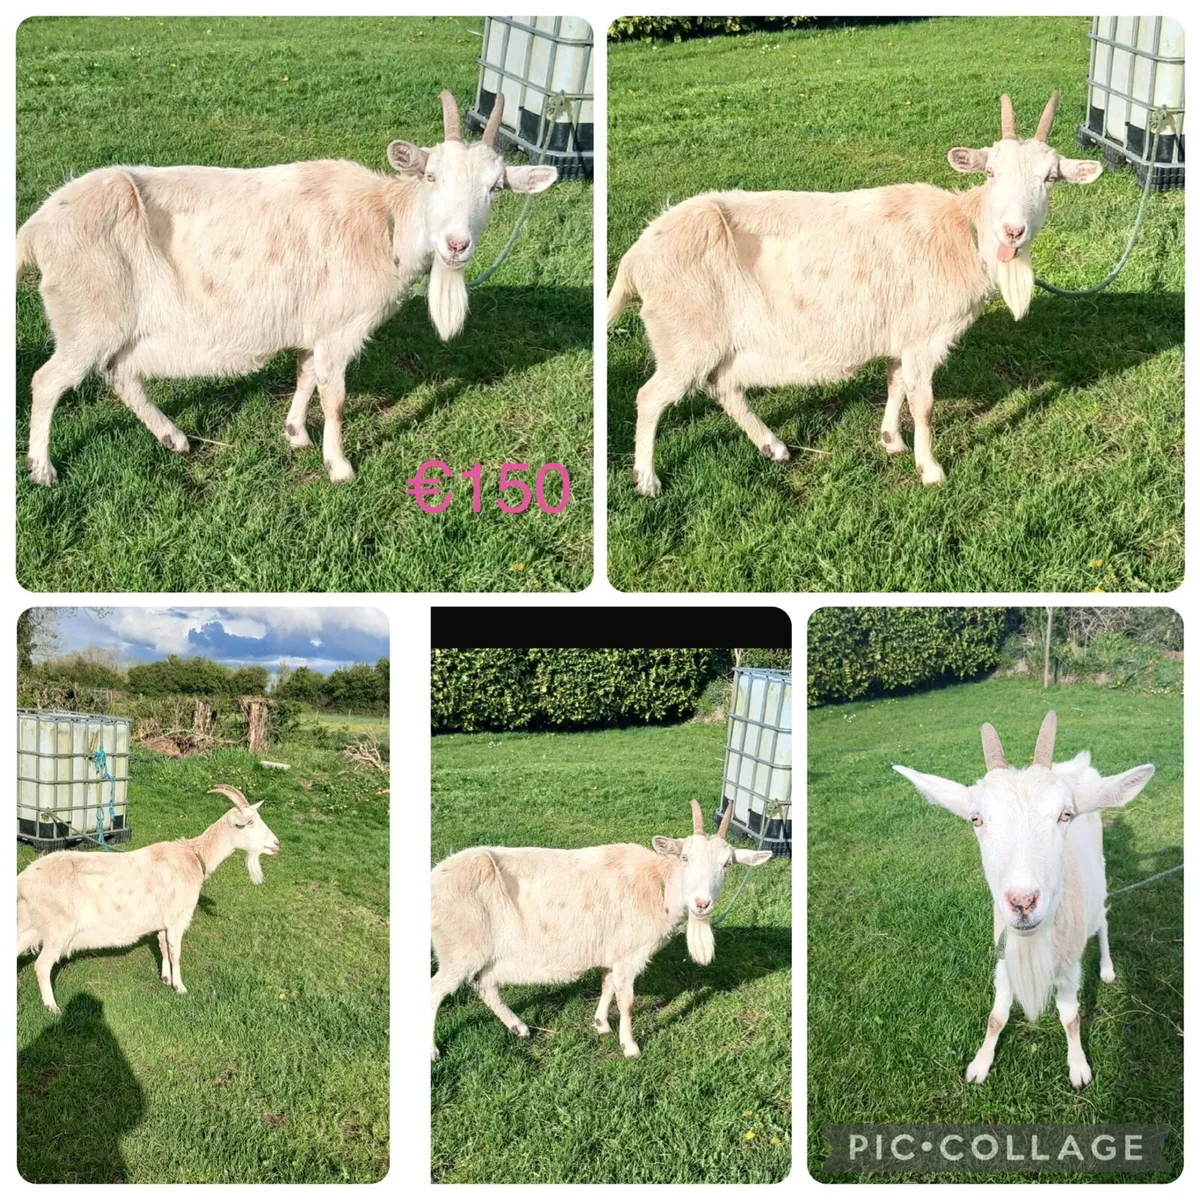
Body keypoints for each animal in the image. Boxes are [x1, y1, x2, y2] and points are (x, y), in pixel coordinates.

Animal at [16, 91, 557, 485]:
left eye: (495, 188)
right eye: (430, 175)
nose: (456, 245)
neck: (382, 223)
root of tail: (36, 229)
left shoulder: (313, 323)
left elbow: (304, 375)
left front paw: (296, 433)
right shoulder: (339, 328)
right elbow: (334, 396)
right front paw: (339, 467)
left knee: (121, 375)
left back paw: (175, 439)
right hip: (89, 315)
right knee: (48, 381)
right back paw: (43, 469)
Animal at [16, 785, 280, 1013]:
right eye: (250, 823)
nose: (276, 844)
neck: (194, 856)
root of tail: (23, 880)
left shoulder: (162, 922)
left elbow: (163, 947)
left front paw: (165, 977)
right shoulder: (176, 920)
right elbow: (175, 952)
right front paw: (180, 987)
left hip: (31, 925)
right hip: (57, 928)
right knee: (42, 966)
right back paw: (52, 1007)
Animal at [430, 799, 772, 1060]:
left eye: (727, 865)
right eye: (685, 857)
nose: (702, 904)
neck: (657, 885)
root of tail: (435, 878)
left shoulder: (614, 951)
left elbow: (607, 985)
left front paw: (601, 1024)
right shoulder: (629, 955)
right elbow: (627, 1000)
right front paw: (630, 1046)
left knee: (484, 985)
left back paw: (521, 1028)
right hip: (461, 946)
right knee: (437, 990)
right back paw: (433, 1051)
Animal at [607, 91, 1103, 495]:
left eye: (1050, 178)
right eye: (991, 172)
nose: (1013, 231)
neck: (960, 232)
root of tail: (635, 257)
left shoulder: (901, 333)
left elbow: (895, 384)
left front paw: (891, 440)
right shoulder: (924, 336)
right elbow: (923, 402)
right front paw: (931, 469)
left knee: (724, 387)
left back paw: (774, 447)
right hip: (686, 334)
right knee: (651, 397)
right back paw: (647, 480)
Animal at [895, 712, 1154, 1087]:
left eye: (1065, 814)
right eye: (976, 819)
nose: (1022, 902)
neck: (1032, 941)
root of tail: (1078, 766)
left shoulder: (1069, 967)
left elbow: (1071, 1018)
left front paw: (1078, 1068)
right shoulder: (1004, 959)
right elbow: (996, 1017)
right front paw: (979, 1064)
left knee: (1103, 919)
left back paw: (1107, 969)